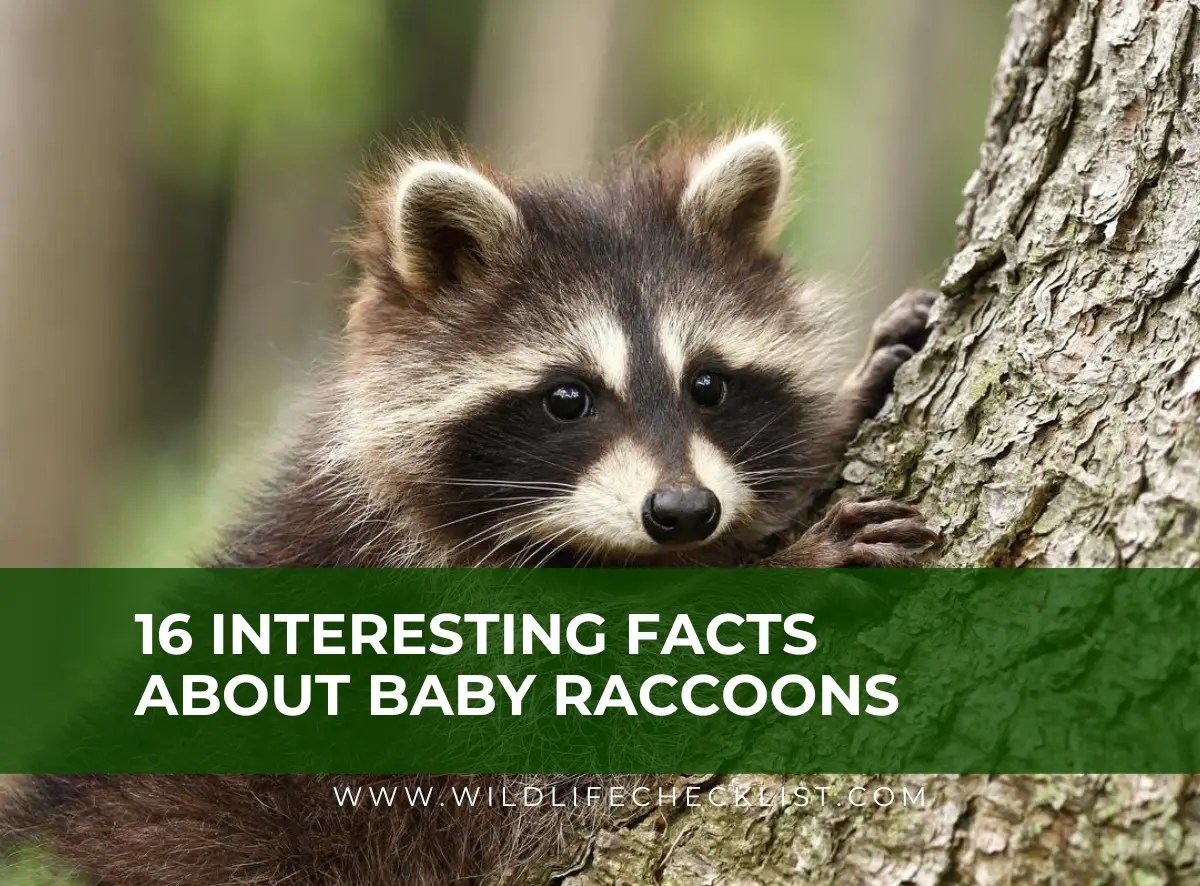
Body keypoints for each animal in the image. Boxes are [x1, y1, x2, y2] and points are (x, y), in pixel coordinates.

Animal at [2, 126, 937, 884]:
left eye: (708, 385)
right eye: (568, 399)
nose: (682, 512)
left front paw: (829, 423)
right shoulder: (430, 656)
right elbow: (588, 723)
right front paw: (774, 575)